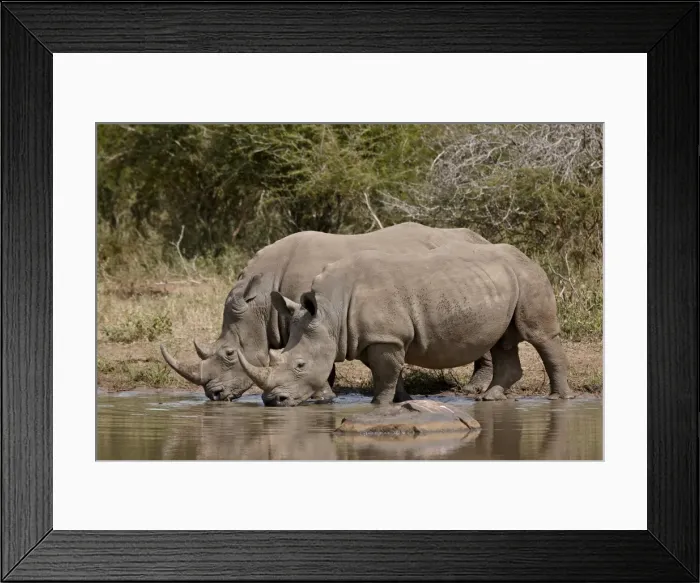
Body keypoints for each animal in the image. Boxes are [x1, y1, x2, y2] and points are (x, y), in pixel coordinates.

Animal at [160, 222, 495, 401]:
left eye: (230, 354)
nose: (213, 395)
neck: (261, 304)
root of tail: (482, 238)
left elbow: (322, 362)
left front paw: (321, 397)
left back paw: (473, 390)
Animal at [236, 241, 574, 406]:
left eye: (300, 365)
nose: (272, 401)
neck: (330, 313)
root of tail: (527, 256)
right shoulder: (377, 337)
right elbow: (390, 372)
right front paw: (404, 400)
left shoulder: (384, 337)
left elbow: (384, 375)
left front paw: (378, 405)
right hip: (501, 281)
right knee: (503, 340)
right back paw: (489, 398)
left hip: (528, 276)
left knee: (539, 336)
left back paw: (559, 399)